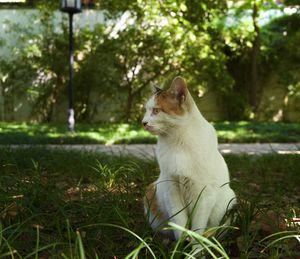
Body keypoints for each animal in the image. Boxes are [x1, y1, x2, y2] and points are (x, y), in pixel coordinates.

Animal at [143, 76, 237, 246]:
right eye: (146, 110)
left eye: (156, 110)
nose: (143, 122)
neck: (177, 144)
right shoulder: (171, 190)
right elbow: (179, 224)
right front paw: (179, 246)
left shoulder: (203, 195)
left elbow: (198, 229)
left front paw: (195, 248)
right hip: (151, 191)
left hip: (229, 200)